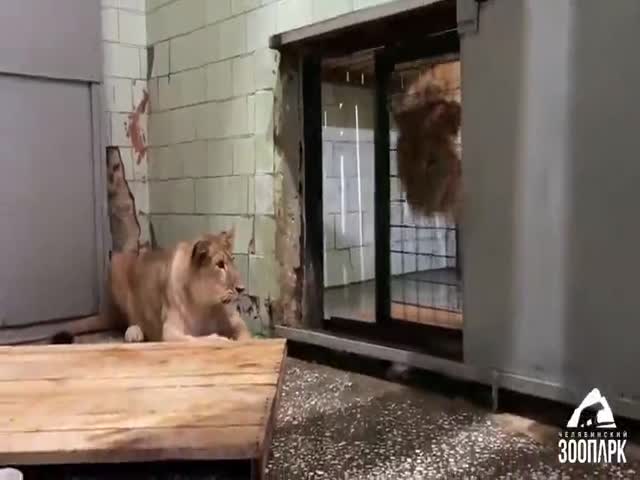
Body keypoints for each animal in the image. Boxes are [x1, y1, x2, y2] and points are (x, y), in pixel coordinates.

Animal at [106, 229, 251, 342]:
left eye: (232, 261)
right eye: (220, 264)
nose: (241, 288)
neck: (204, 305)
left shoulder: (236, 322)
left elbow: (245, 336)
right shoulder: (170, 331)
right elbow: (197, 339)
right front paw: (221, 339)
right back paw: (134, 333)